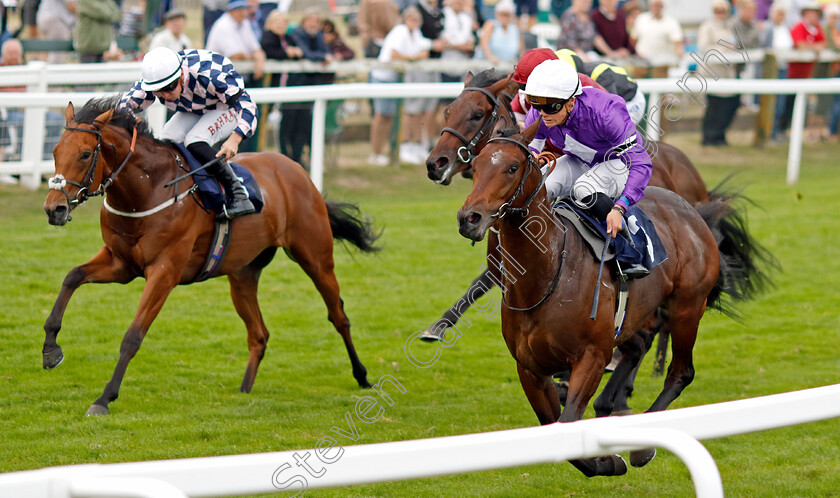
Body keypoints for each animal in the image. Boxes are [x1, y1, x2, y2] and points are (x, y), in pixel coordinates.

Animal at [42, 97, 378, 416]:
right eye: (56, 151)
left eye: (86, 154)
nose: (54, 208)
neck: (148, 189)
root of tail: (296, 170)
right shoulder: (121, 263)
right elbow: (72, 277)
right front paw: (50, 350)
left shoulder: (164, 272)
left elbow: (133, 336)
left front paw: (104, 399)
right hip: (242, 275)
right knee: (259, 334)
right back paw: (244, 390)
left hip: (316, 258)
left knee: (339, 316)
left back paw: (362, 376)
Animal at [456, 123, 740, 474]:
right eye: (476, 165)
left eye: (512, 167)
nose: (469, 218)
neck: (547, 276)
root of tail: (693, 210)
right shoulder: (531, 368)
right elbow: (555, 428)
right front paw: (605, 456)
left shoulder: (591, 356)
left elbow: (567, 425)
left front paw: (610, 460)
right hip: (630, 318)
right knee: (639, 346)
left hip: (686, 308)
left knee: (680, 372)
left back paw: (642, 445)